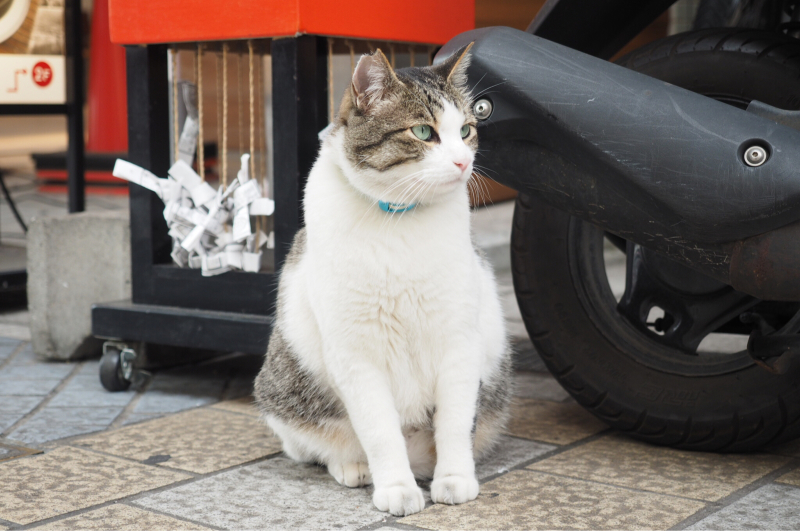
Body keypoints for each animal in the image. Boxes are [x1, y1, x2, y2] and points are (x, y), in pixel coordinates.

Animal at [253, 43, 510, 516]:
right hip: (284, 395)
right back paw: (353, 467)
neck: (399, 220)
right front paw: (396, 488)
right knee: (319, 445)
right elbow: (379, 430)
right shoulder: (355, 352)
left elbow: (455, 423)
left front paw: (455, 480)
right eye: (424, 132)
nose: (464, 161)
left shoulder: (459, 339)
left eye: (466, 129)